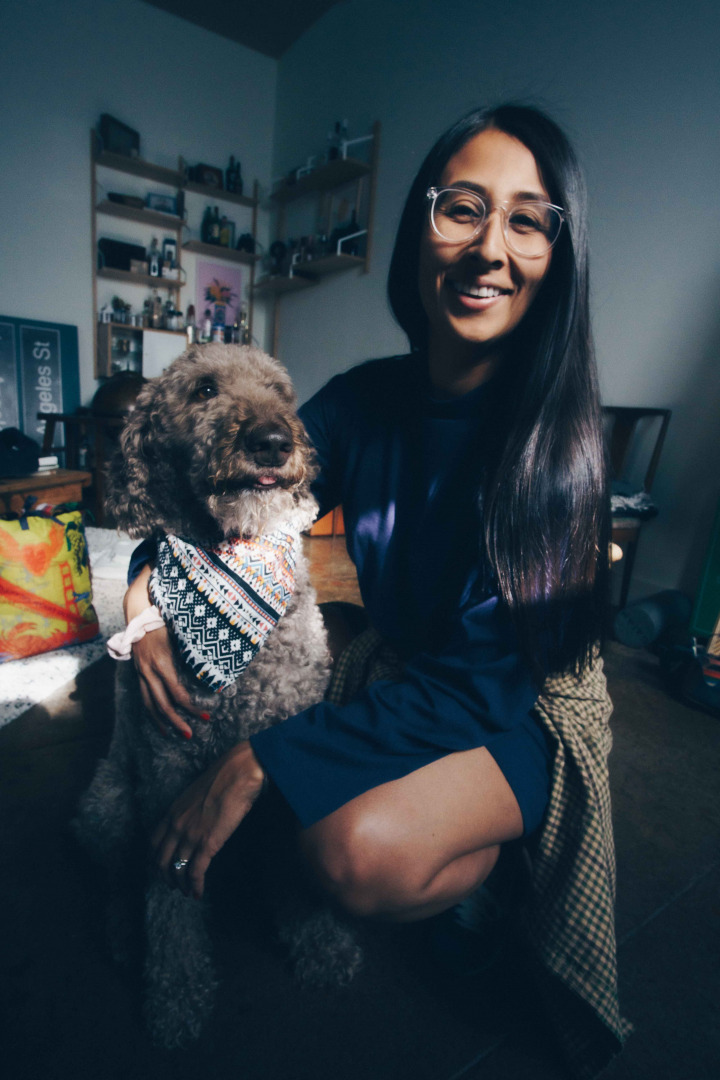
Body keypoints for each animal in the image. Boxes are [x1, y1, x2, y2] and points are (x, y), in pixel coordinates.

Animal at [73, 344, 362, 1048]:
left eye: (281, 390)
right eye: (203, 389)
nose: (273, 440)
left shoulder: (281, 748)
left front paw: (321, 942)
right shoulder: (168, 772)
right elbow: (168, 903)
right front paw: (175, 996)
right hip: (105, 808)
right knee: (120, 881)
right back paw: (124, 936)